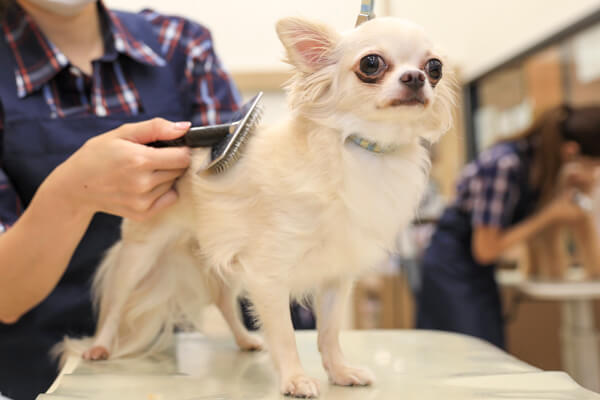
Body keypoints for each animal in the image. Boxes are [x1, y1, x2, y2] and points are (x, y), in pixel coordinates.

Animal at [62, 14, 454, 396]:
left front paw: (340, 371)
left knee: (223, 300)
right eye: (371, 63)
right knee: (114, 304)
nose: (417, 77)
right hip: (140, 252)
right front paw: (295, 379)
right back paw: (100, 346)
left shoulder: (335, 275)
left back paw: (245, 340)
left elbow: (329, 333)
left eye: (435, 67)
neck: (358, 149)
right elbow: (284, 333)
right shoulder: (268, 274)